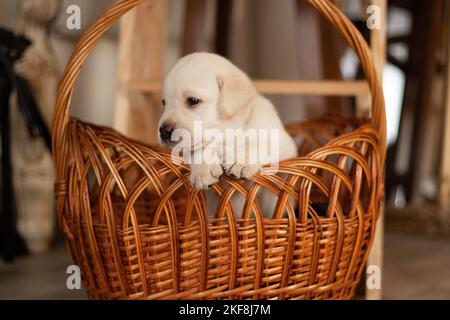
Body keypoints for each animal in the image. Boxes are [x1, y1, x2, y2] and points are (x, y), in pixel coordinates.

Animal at [159, 52, 298, 219]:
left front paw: (241, 159)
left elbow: (258, 142)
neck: (225, 134)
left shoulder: (284, 143)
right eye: (164, 102)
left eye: (193, 101)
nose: (163, 131)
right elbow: (198, 149)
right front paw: (203, 169)